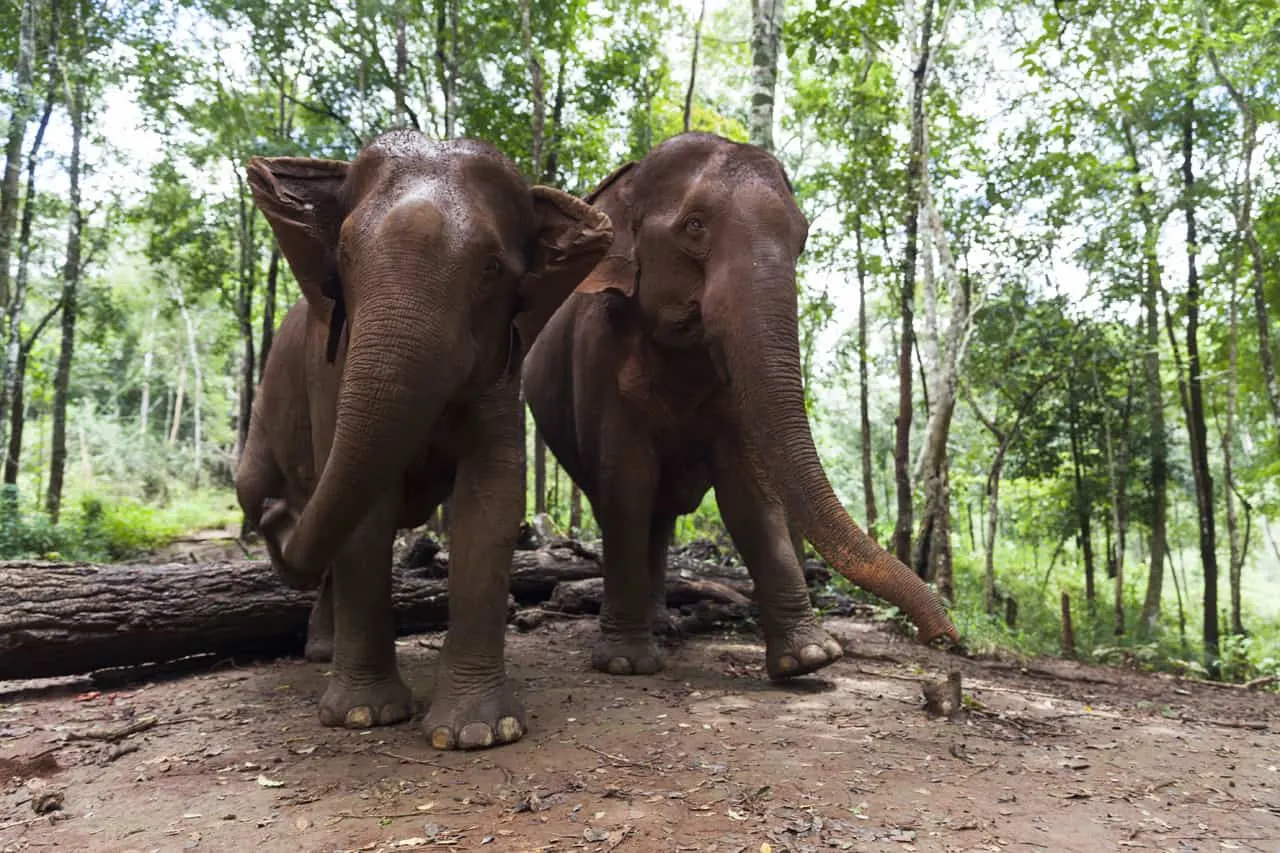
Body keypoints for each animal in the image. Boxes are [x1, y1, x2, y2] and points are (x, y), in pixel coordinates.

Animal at [235, 129, 614, 749]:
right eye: (343, 254)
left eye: (491, 268)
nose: (272, 513)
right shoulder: (328, 367)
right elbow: (368, 511)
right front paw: (363, 717)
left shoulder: (503, 370)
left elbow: (493, 495)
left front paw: (478, 733)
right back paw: (323, 656)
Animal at [522, 132, 959, 681]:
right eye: (694, 225)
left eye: (803, 237)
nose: (945, 638)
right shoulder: (598, 355)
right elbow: (626, 483)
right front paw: (624, 663)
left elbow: (749, 487)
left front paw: (810, 659)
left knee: (661, 518)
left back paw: (664, 624)